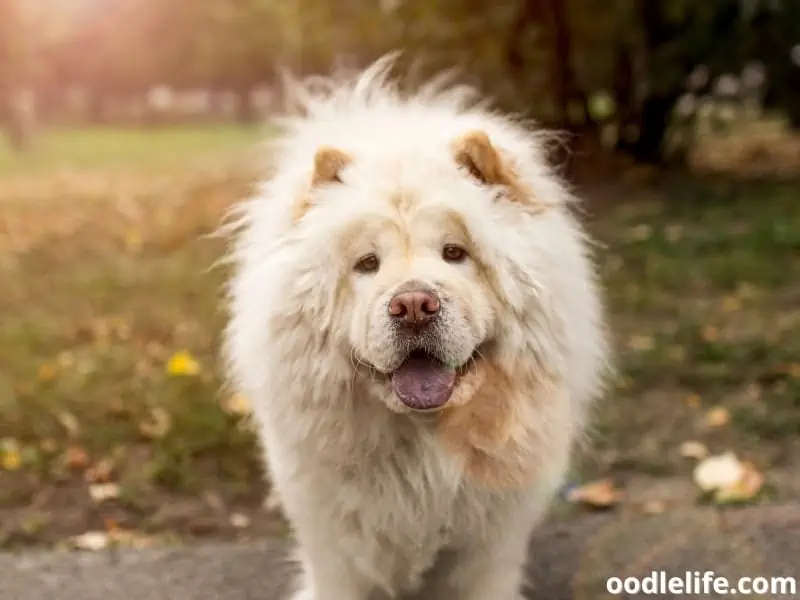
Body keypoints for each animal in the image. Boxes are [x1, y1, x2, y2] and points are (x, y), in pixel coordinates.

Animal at [222, 56, 608, 600]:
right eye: (367, 263)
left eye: (455, 252)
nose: (412, 305)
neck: (424, 453)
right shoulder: (339, 551)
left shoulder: (486, 550)